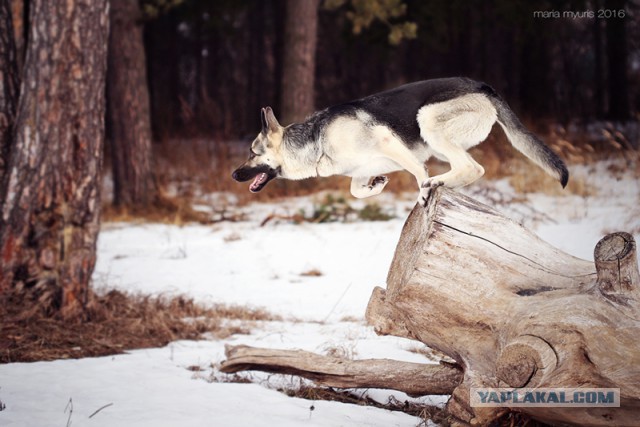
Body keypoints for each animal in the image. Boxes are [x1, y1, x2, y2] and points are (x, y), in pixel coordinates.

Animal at [232, 77, 568, 205]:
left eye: (251, 153)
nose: (234, 174)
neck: (317, 140)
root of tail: (485, 87)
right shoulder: (362, 169)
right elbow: (356, 190)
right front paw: (377, 186)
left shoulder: (390, 143)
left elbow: (418, 171)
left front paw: (422, 191)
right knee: (468, 169)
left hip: (428, 120)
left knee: (473, 168)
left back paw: (436, 184)